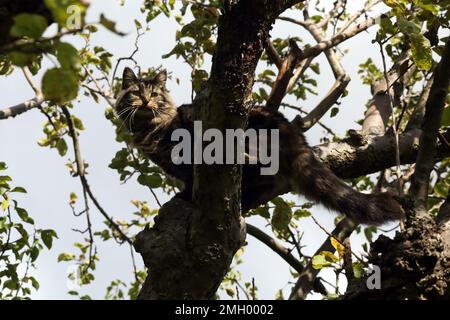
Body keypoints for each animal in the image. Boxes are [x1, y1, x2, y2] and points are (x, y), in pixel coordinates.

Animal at [114, 67, 402, 225]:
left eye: (154, 94)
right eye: (136, 93)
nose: (145, 102)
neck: (151, 130)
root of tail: (291, 130)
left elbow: (191, 181)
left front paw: (184, 196)